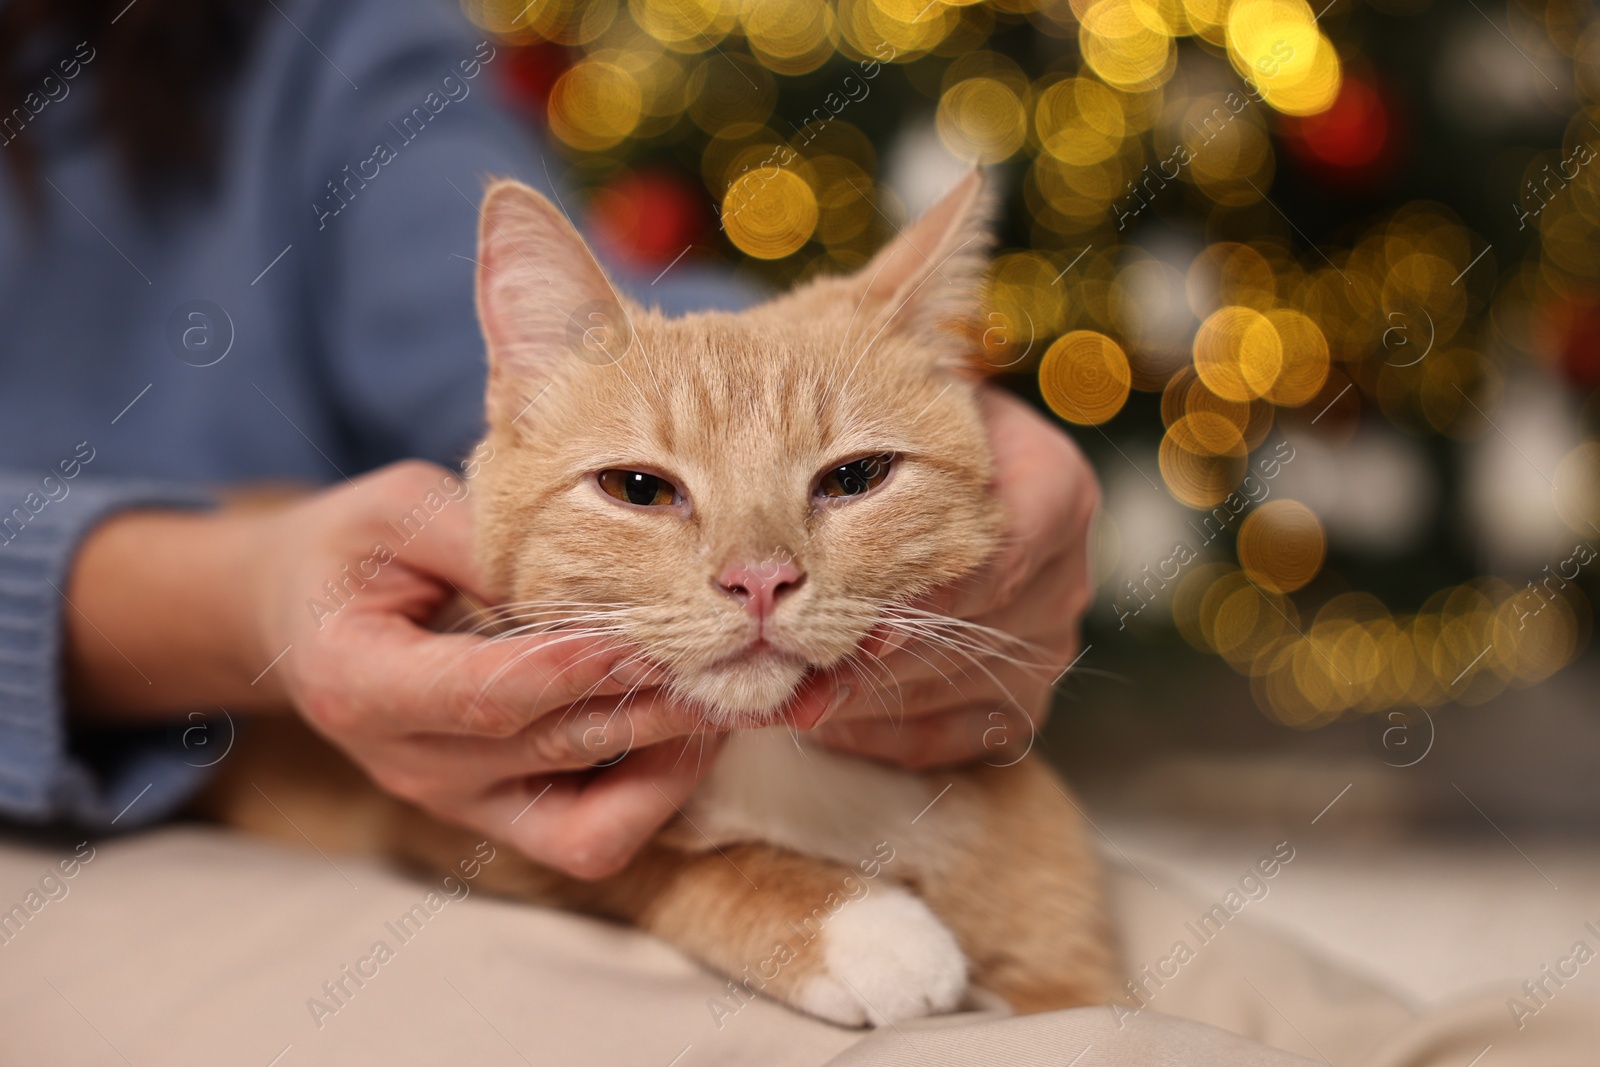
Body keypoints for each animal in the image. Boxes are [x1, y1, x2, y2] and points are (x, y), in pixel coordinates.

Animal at [206, 171, 1113, 1023]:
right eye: (637, 488)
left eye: (856, 477)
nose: (758, 577)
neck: (778, 763)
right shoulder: (446, 831)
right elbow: (670, 860)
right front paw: (857, 922)